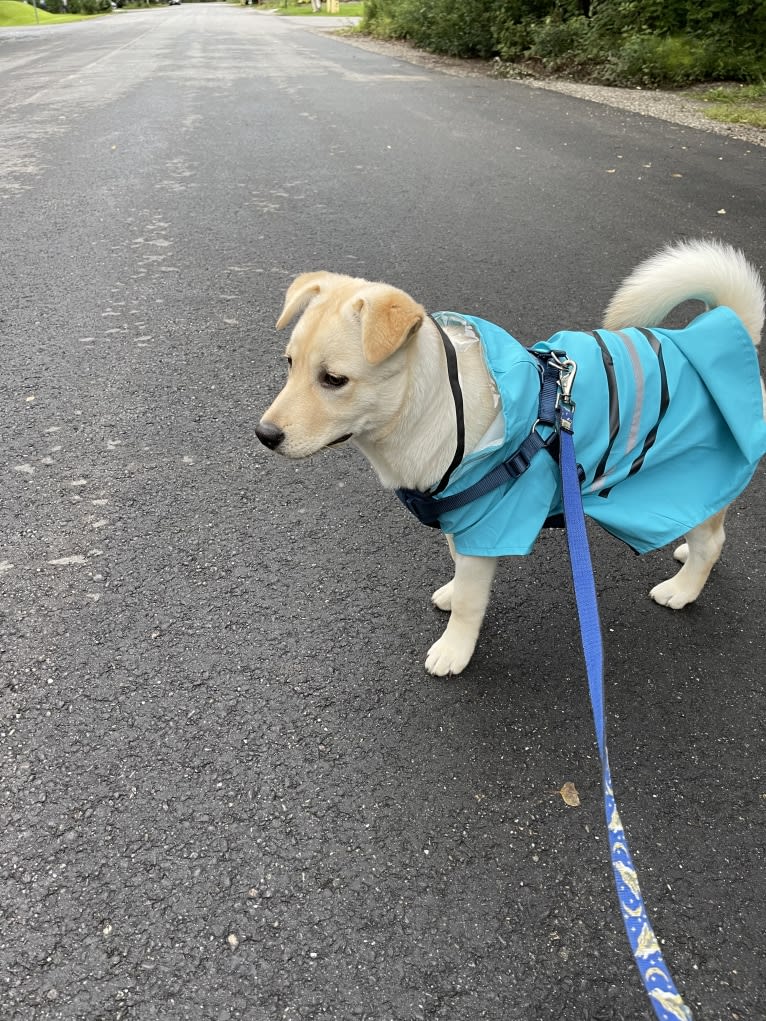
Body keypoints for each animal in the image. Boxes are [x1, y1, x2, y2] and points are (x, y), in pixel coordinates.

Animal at [256, 240, 766, 677]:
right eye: (289, 363)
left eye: (334, 379)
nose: (264, 435)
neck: (437, 408)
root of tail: (726, 328)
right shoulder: (461, 518)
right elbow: (459, 570)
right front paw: (453, 592)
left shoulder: (488, 522)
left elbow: (469, 603)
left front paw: (454, 650)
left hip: (687, 479)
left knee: (712, 542)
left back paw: (682, 589)